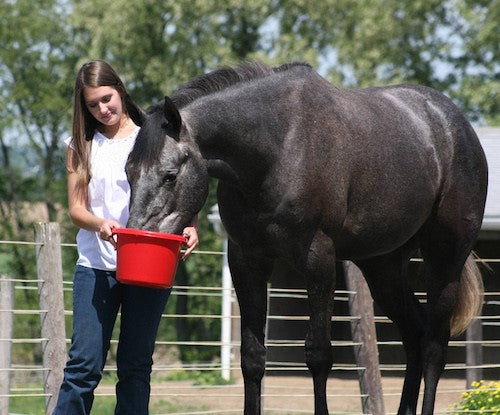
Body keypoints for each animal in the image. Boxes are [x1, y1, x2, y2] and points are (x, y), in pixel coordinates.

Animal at [126, 61, 488, 415]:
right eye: (129, 171)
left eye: (170, 175)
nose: (139, 230)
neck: (279, 148)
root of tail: (456, 125)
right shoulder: (247, 259)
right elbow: (252, 357)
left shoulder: (319, 259)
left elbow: (318, 355)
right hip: (383, 267)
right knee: (414, 336)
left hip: (445, 257)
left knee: (433, 345)